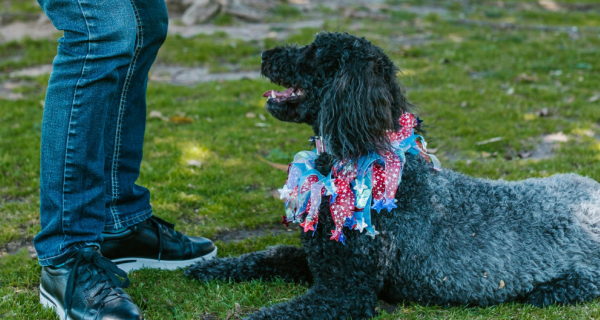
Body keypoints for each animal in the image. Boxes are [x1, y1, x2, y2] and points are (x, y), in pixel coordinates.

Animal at [190, 33, 600, 320]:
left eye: (315, 53)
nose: (264, 54)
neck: (366, 159)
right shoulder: (318, 261)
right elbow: (270, 255)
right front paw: (211, 267)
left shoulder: (344, 292)